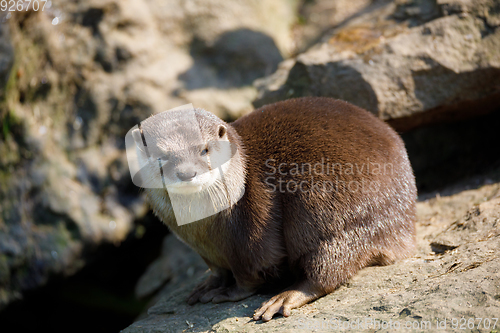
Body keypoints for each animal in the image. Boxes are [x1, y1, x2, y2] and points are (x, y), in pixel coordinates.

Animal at [128, 96, 414, 322]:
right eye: (161, 157)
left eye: (204, 150)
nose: (186, 173)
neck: (201, 228)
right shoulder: (202, 249)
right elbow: (218, 269)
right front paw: (207, 284)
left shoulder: (252, 228)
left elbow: (252, 272)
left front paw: (228, 292)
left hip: (335, 212)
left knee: (328, 267)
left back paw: (284, 298)